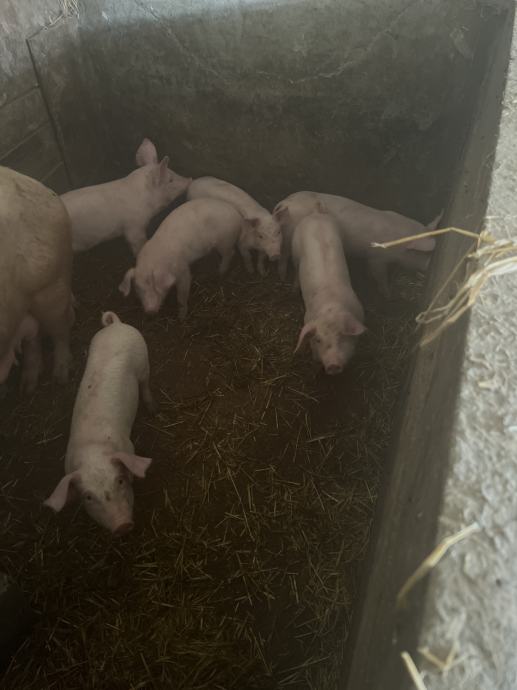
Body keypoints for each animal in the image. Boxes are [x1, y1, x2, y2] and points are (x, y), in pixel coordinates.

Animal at [44, 311, 155, 535]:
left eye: (119, 481)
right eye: (88, 497)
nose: (122, 525)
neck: (94, 452)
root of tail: (116, 325)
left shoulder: (129, 446)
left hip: (143, 360)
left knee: (145, 383)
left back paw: (153, 409)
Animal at [273, 191, 441, 294]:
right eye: (426, 253)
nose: (429, 266)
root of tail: (286, 203)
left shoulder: (371, 258)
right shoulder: (377, 259)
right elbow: (380, 276)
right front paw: (388, 294)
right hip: (289, 235)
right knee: (284, 255)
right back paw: (282, 278)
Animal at [292, 212, 366, 375]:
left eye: (342, 336)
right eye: (318, 339)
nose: (333, 365)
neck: (332, 307)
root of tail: (316, 214)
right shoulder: (308, 319)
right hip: (294, 248)